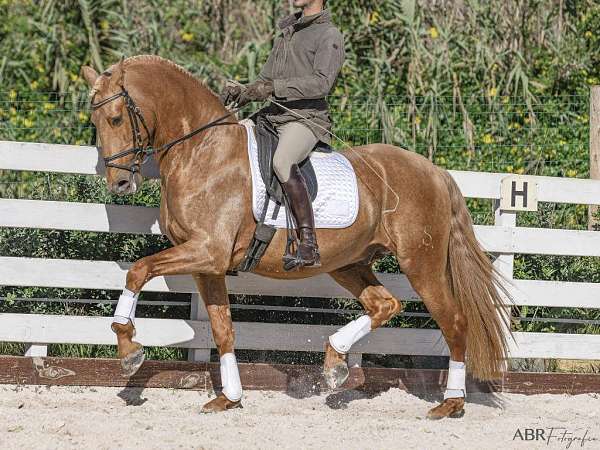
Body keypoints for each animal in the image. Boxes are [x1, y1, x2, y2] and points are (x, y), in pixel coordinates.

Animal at [81, 55, 510, 418]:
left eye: (116, 119)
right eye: (95, 122)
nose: (119, 183)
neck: (201, 151)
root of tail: (435, 171)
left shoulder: (207, 251)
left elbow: (138, 270)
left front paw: (129, 348)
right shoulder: (209, 265)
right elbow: (222, 329)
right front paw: (229, 398)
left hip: (422, 263)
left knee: (454, 321)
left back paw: (450, 404)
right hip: (348, 263)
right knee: (384, 305)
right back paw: (335, 363)